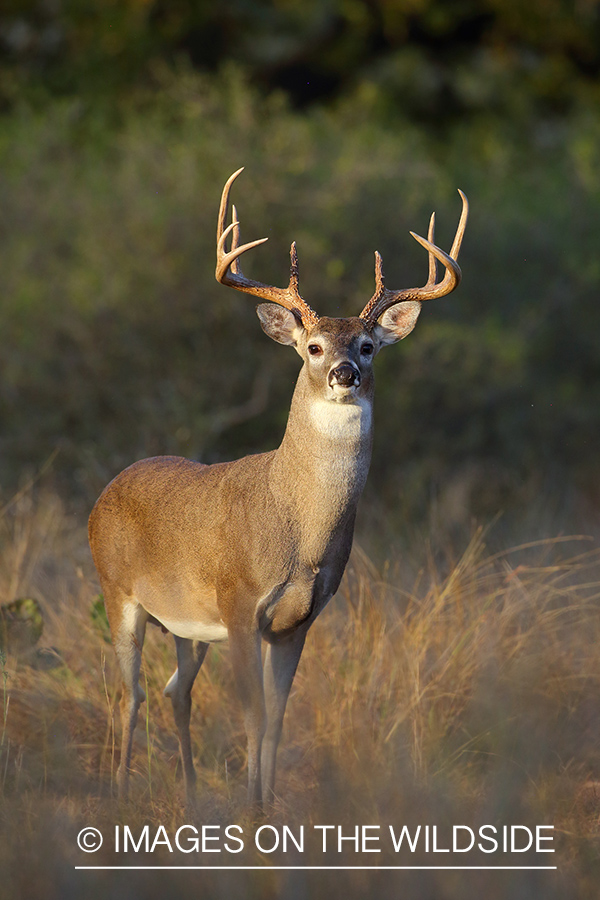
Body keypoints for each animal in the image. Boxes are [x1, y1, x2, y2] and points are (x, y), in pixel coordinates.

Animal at [88, 169, 468, 808]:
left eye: (368, 345)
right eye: (312, 346)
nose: (345, 373)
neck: (297, 527)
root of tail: (105, 491)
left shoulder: (299, 620)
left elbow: (277, 720)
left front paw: (265, 806)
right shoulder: (240, 602)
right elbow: (253, 715)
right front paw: (250, 810)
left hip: (185, 622)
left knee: (175, 691)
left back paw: (191, 797)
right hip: (119, 592)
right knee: (127, 693)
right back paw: (118, 793)